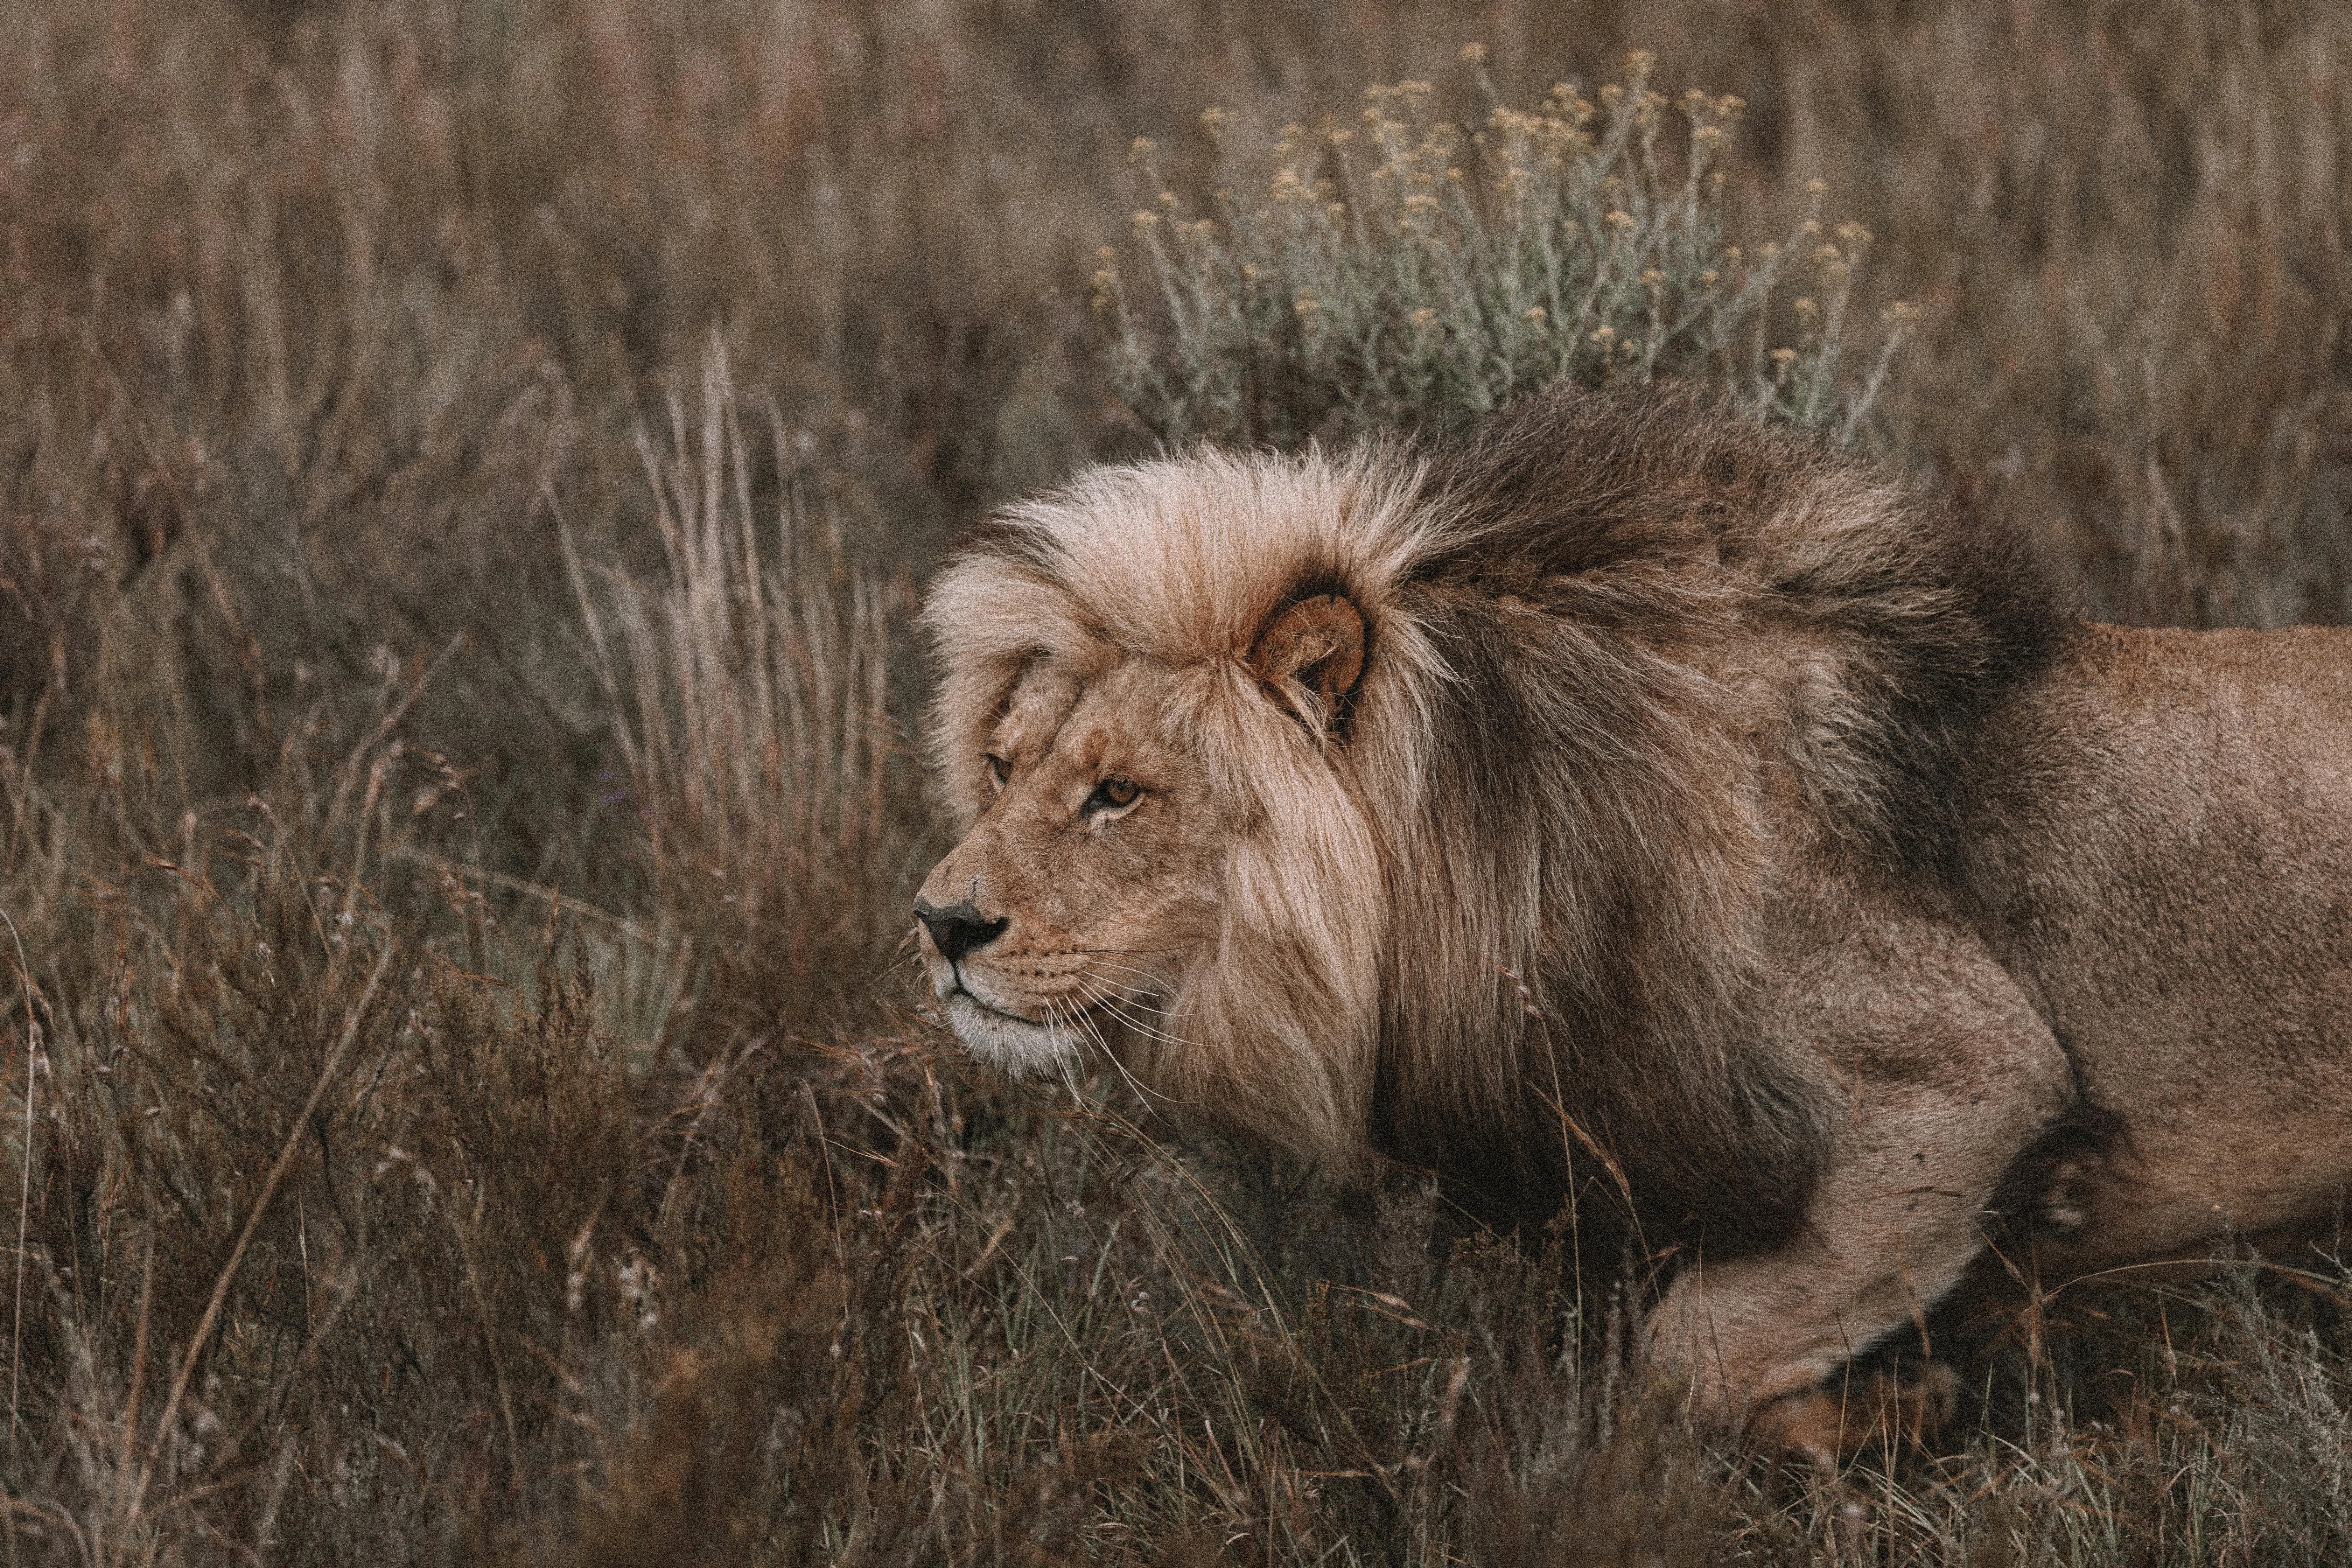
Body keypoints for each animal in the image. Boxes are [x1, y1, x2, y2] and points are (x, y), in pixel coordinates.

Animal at [911, 380, 2352, 1458]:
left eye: (1115, 793)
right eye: (1001, 765)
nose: (938, 924)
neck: (1483, 843)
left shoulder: (1965, 1084)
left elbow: (1682, 1356)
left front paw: (1898, 1411)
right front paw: (1886, 1410)